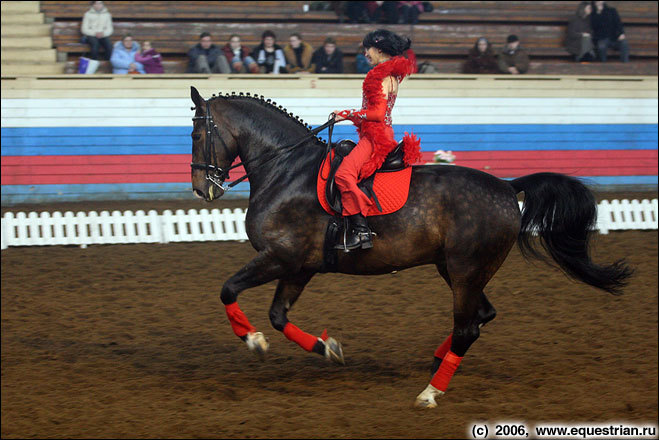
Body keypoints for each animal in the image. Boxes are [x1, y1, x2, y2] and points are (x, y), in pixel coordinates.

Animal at [188, 87, 632, 410]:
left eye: (196, 134)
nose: (203, 188)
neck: (286, 170)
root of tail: (507, 188)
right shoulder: (300, 267)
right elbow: (279, 316)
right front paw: (327, 348)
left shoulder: (281, 258)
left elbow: (228, 290)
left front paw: (252, 340)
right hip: (456, 269)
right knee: (481, 317)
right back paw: (437, 361)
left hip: (466, 271)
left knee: (468, 326)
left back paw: (431, 391)